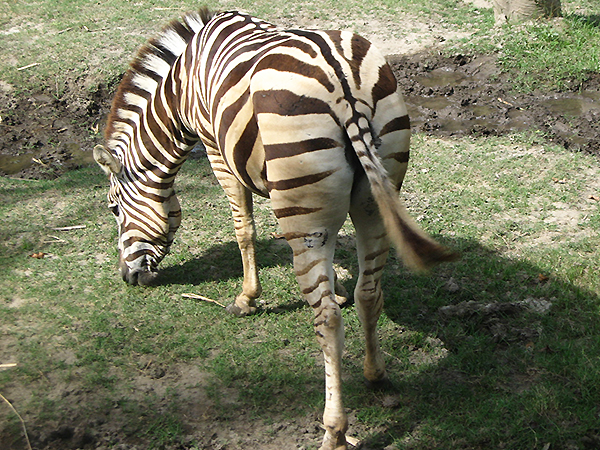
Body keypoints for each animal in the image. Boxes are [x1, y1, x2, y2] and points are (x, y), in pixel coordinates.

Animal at [94, 7, 454, 450]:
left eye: (113, 209)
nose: (128, 278)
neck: (181, 86)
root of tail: (343, 77)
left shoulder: (217, 151)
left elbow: (243, 229)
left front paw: (246, 299)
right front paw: (336, 282)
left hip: (307, 191)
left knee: (328, 319)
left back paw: (334, 430)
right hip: (375, 193)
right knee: (369, 292)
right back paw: (376, 376)